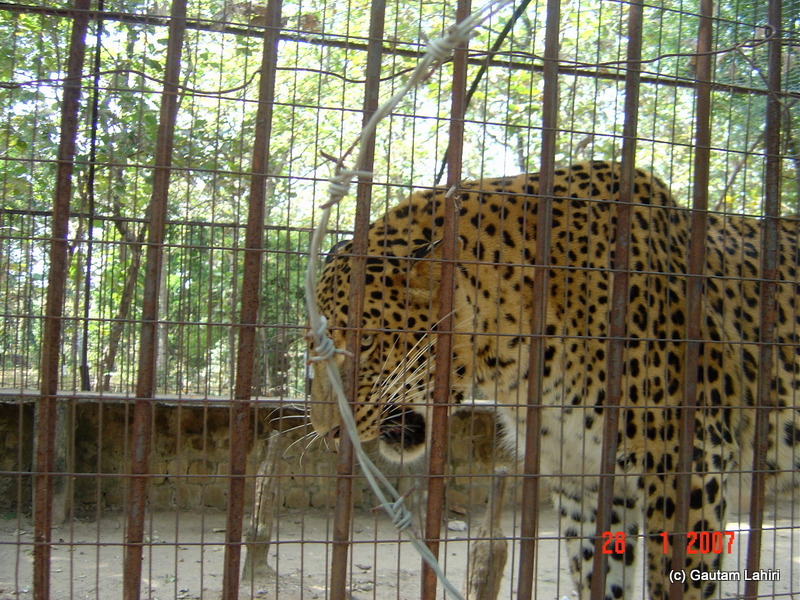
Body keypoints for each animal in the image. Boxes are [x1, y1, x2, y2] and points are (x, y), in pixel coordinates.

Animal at [308, 160, 800, 600]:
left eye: (365, 343)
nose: (329, 433)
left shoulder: (689, 460)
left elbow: (678, 579)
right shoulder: (581, 478)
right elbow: (601, 574)